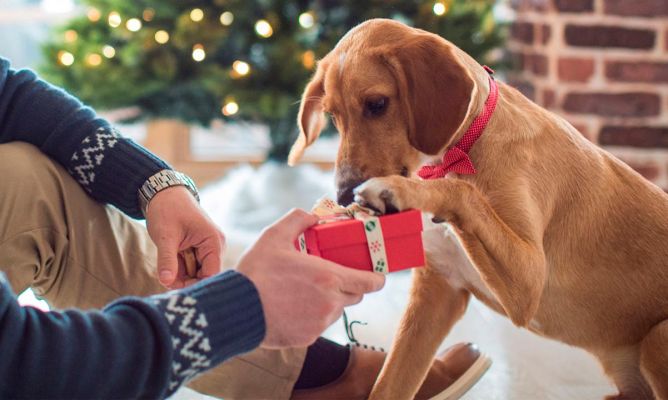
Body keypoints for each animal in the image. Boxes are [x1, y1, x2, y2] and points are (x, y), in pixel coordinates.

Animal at [290, 18, 668, 400]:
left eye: (377, 104)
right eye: (332, 116)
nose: (343, 195)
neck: (459, 151)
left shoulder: (530, 281)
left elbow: (463, 191)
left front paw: (398, 190)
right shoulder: (435, 295)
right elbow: (388, 385)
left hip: (657, 337)